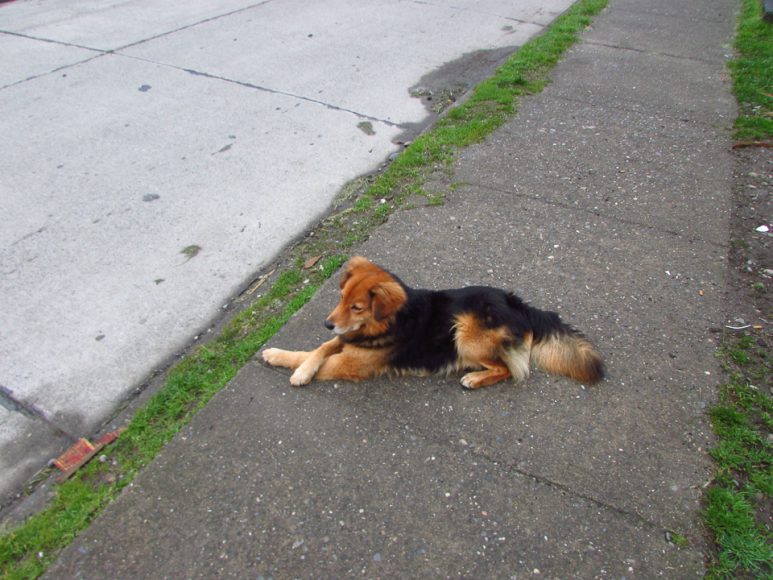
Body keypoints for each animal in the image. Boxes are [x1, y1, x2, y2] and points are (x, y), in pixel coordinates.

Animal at [262, 255, 608, 388]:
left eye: (357, 307)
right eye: (341, 298)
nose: (327, 323)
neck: (388, 322)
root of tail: (518, 304)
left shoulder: (353, 365)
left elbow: (312, 357)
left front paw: (298, 373)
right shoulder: (347, 338)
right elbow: (316, 350)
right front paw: (277, 354)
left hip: (465, 333)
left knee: (510, 369)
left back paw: (474, 379)